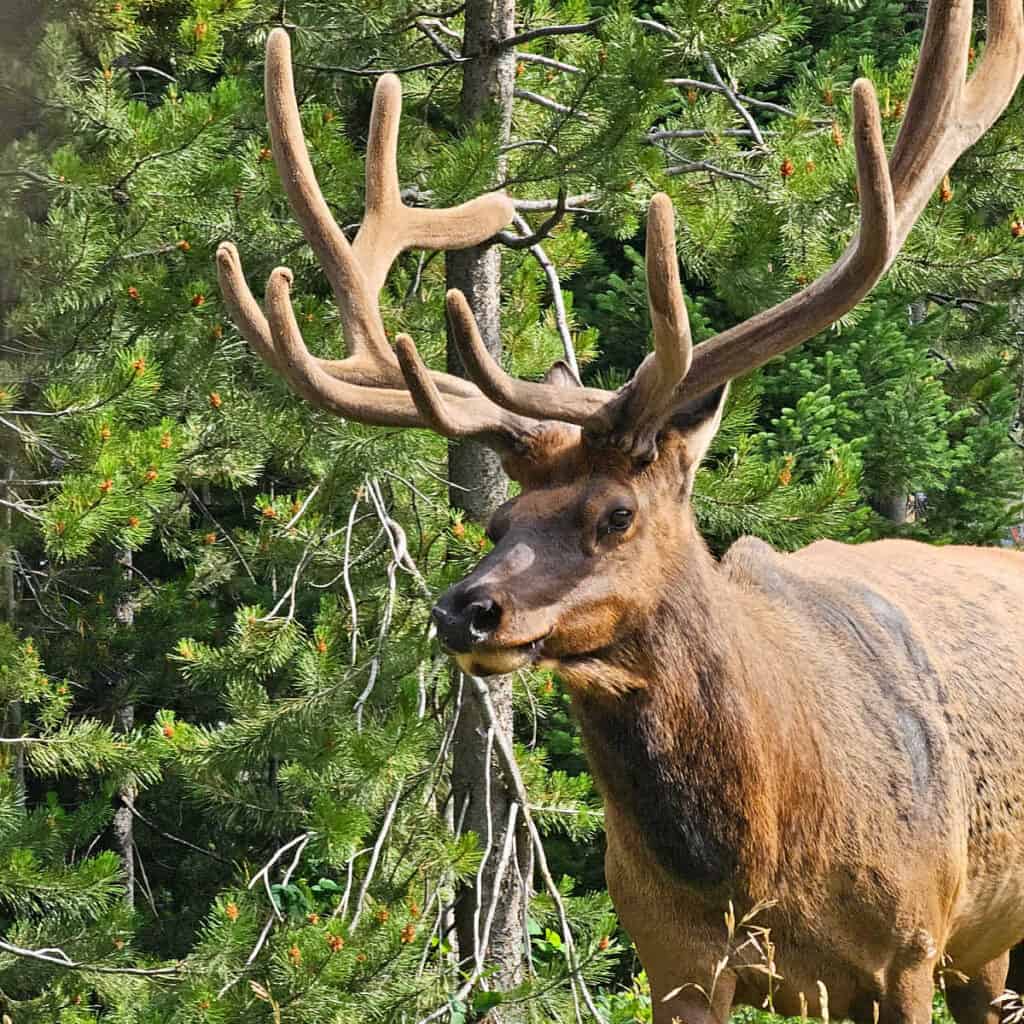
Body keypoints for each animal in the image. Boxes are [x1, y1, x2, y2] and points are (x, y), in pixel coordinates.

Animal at [217, 6, 1024, 1023]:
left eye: (615, 515)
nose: (463, 611)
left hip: (973, 935)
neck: (760, 861)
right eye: (500, 521)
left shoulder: (908, 946)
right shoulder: (672, 958)